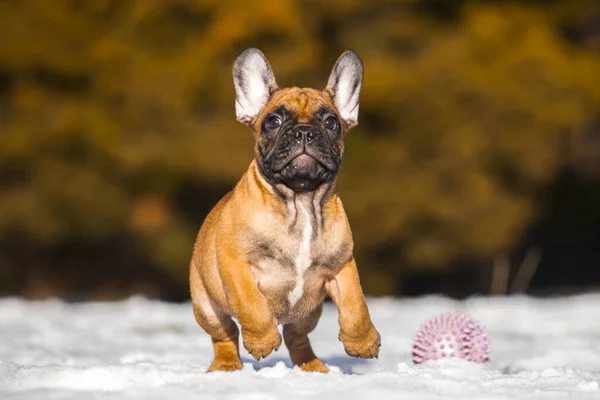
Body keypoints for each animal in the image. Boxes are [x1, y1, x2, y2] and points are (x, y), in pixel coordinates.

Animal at [190, 49, 380, 372]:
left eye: (332, 122)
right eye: (273, 121)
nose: (304, 132)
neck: (300, 201)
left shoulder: (342, 266)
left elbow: (356, 305)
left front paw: (363, 341)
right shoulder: (236, 263)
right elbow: (250, 302)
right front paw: (262, 340)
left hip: (309, 313)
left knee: (296, 336)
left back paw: (312, 367)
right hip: (206, 306)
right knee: (225, 334)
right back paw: (227, 365)